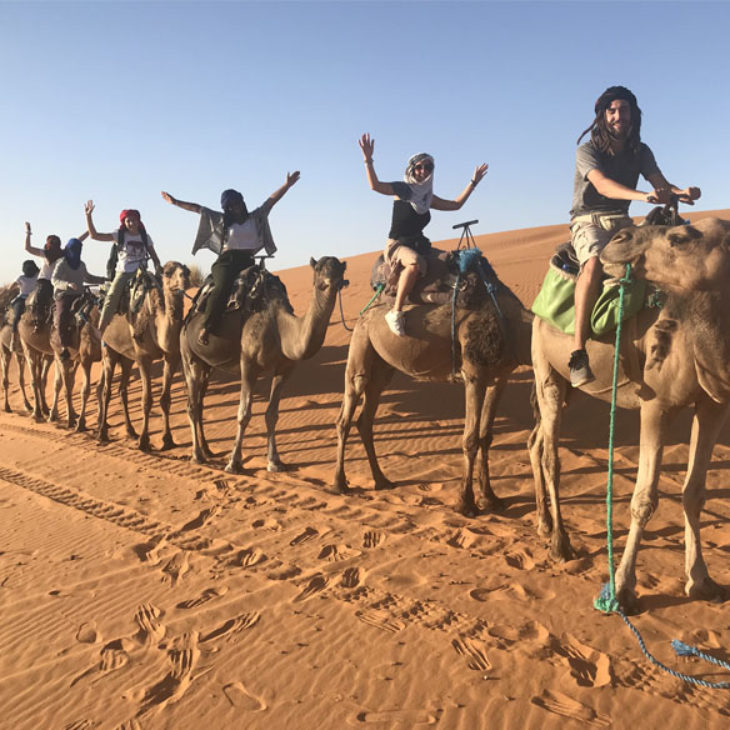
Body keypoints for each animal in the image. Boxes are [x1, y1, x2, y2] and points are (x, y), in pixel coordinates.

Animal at [17, 288, 101, 430]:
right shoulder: (80, 358)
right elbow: (66, 386)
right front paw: (73, 420)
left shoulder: (77, 358)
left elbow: (71, 384)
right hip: (27, 345)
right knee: (34, 378)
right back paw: (36, 412)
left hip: (48, 354)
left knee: (42, 378)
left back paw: (45, 409)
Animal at [98, 258, 192, 446]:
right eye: (167, 273)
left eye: (185, 270)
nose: (185, 278)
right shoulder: (143, 358)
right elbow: (147, 400)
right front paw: (144, 441)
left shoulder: (172, 356)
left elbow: (165, 399)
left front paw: (167, 439)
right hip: (109, 351)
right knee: (107, 391)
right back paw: (103, 432)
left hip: (127, 356)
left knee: (122, 390)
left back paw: (130, 431)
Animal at [178, 256, 344, 472]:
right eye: (318, 269)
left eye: (340, 269)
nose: (330, 282)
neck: (280, 328)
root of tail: (189, 315)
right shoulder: (249, 364)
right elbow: (244, 413)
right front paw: (233, 462)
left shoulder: (285, 368)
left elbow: (272, 414)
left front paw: (274, 461)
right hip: (189, 356)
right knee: (191, 405)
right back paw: (197, 455)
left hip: (208, 366)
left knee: (199, 404)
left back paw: (207, 450)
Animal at [332, 256, 528, 512]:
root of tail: (364, 314)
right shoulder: (474, 374)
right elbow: (471, 439)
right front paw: (465, 504)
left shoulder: (500, 378)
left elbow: (486, 437)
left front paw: (491, 498)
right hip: (360, 345)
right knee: (346, 412)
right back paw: (339, 484)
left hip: (382, 368)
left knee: (366, 416)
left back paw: (381, 480)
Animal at [528, 219, 728, 612]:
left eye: (679, 238)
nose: (619, 240)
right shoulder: (657, 405)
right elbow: (644, 499)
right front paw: (620, 589)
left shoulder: (714, 404)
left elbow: (695, 492)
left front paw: (701, 581)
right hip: (544, 364)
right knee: (551, 455)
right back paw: (561, 544)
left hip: (567, 388)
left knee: (535, 441)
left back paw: (543, 524)